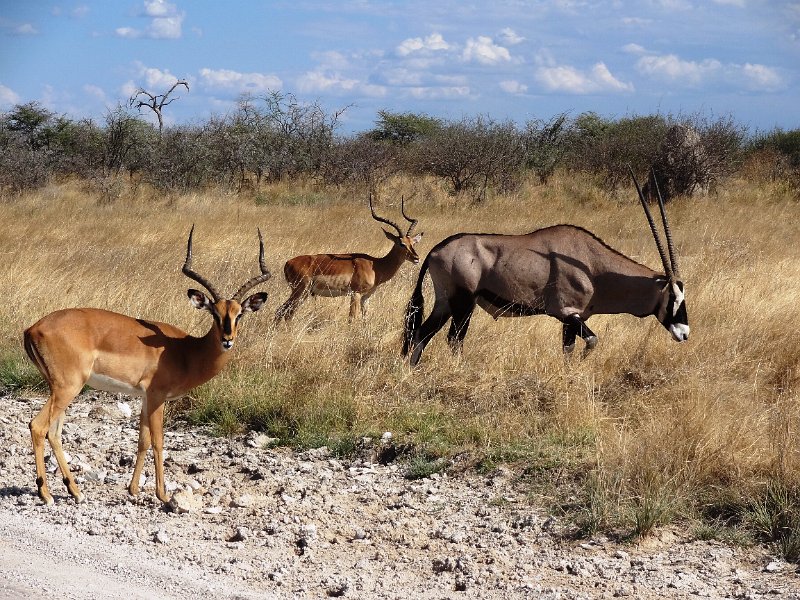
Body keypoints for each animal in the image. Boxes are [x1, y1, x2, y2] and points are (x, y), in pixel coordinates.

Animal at [23, 227, 271, 505]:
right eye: (214, 313)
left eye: (240, 314)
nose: (227, 339)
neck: (187, 351)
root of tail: (33, 328)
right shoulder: (157, 396)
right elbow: (158, 441)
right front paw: (163, 494)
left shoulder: (144, 398)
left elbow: (142, 440)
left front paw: (133, 489)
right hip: (67, 387)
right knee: (38, 426)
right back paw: (46, 494)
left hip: (61, 390)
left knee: (54, 432)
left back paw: (74, 491)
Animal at [275, 195, 423, 322]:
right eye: (401, 243)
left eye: (413, 243)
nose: (416, 258)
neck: (375, 266)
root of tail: (287, 263)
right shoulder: (355, 294)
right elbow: (352, 319)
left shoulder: (366, 297)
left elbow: (364, 318)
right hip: (300, 291)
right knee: (284, 312)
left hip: (303, 293)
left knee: (282, 312)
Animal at [402, 171, 689, 366]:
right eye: (672, 298)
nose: (684, 333)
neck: (594, 268)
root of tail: (436, 249)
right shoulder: (566, 313)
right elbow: (592, 341)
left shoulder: (575, 319)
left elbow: (568, 350)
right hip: (463, 302)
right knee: (453, 339)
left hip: (446, 302)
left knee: (421, 334)